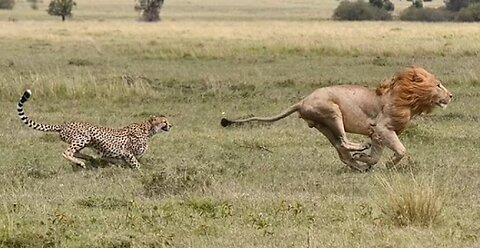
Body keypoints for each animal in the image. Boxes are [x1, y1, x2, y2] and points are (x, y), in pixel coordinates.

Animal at [17, 90, 172, 170]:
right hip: (83, 137)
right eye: (164, 121)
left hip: (85, 141)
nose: (171, 125)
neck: (147, 130)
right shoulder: (128, 153)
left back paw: (89, 158)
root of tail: (64, 124)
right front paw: (142, 173)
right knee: (67, 152)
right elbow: (137, 165)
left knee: (76, 152)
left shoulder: (122, 156)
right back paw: (82, 162)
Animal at [219, 66, 452, 172]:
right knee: (344, 142)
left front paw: (367, 161)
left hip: (324, 126)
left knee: (341, 149)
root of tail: (302, 101)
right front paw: (385, 163)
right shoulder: (382, 128)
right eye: (438, 85)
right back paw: (359, 149)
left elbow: (376, 155)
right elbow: (401, 150)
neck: (407, 99)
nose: (451, 96)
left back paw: (357, 163)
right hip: (332, 112)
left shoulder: (379, 134)